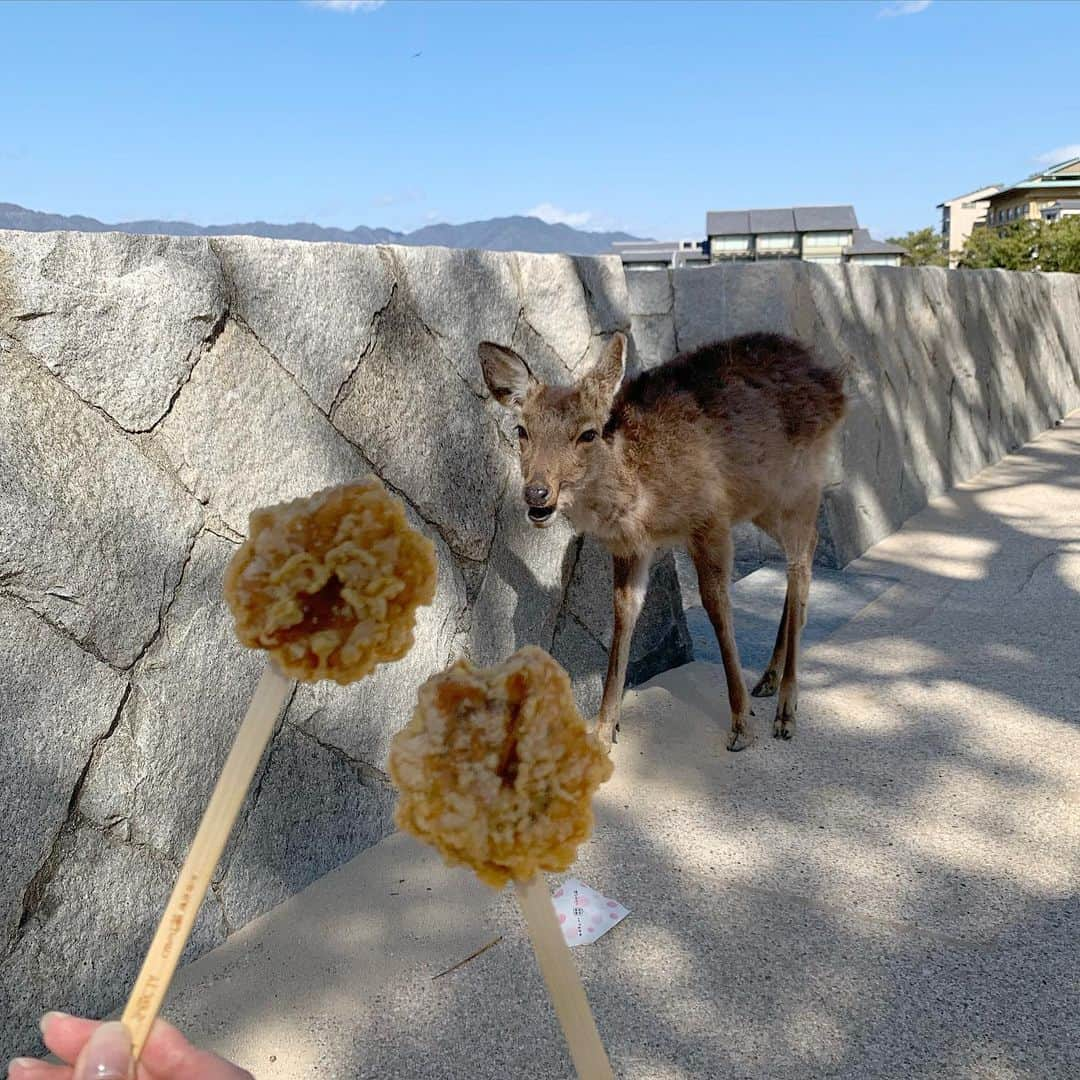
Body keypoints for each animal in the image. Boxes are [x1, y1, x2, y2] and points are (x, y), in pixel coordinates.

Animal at [479, 328, 842, 751]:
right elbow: (623, 614)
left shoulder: (710, 520)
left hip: (801, 484)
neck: (643, 499)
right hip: (763, 502)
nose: (537, 493)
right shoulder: (631, 547)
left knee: (799, 561)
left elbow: (717, 605)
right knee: (807, 548)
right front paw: (603, 730)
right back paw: (768, 679)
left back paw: (785, 710)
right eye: (522, 430)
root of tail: (834, 383)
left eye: (588, 433)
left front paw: (740, 724)